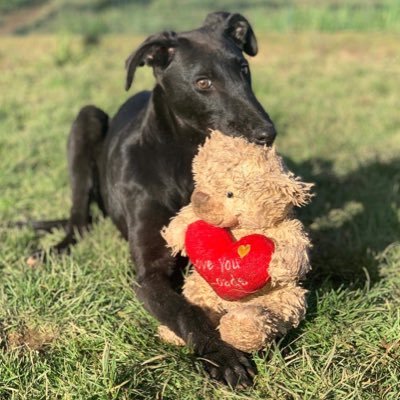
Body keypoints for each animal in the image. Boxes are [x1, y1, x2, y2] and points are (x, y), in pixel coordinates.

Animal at [27, 13, 276, 388]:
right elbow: (186, 310)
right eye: (203, 82)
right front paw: (222, 355)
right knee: (78, 221)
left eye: (243, 69)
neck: (184, 165)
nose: (267, 133)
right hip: (86, 119)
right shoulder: (149, 273)